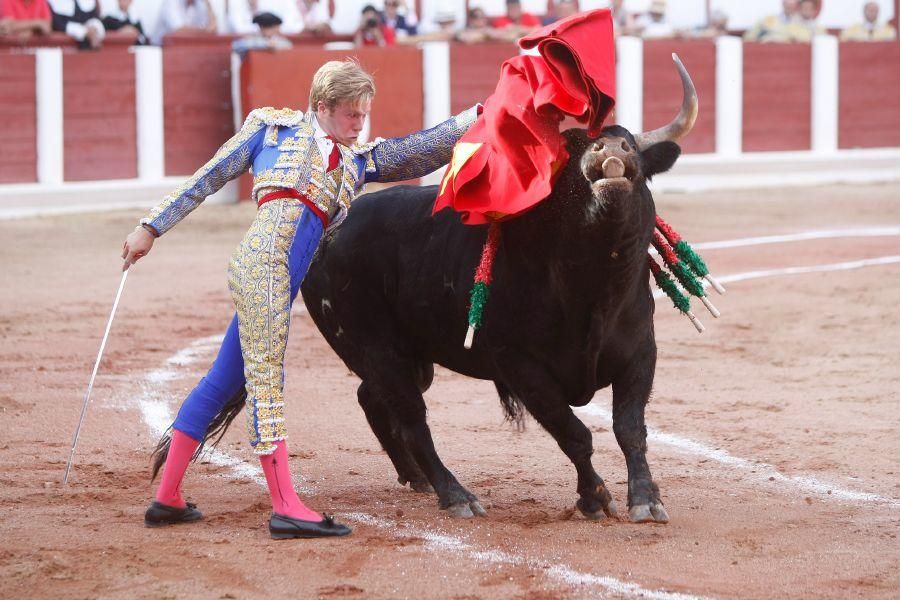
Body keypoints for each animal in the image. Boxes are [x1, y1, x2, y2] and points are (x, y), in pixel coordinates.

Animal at [186, 57, 700, 524]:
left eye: (635, 152)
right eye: (570, 160)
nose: (610, 148)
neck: (591, 289)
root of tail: (330, 232)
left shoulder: (640, 353)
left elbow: (629, 428)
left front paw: (645, 499)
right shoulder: (522, 367)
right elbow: (575, 433)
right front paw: (594, 498)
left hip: (408, 357)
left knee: (375, 400)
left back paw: (416, 478)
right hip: (375, 347)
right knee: (412, 418)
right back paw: (455, 495)